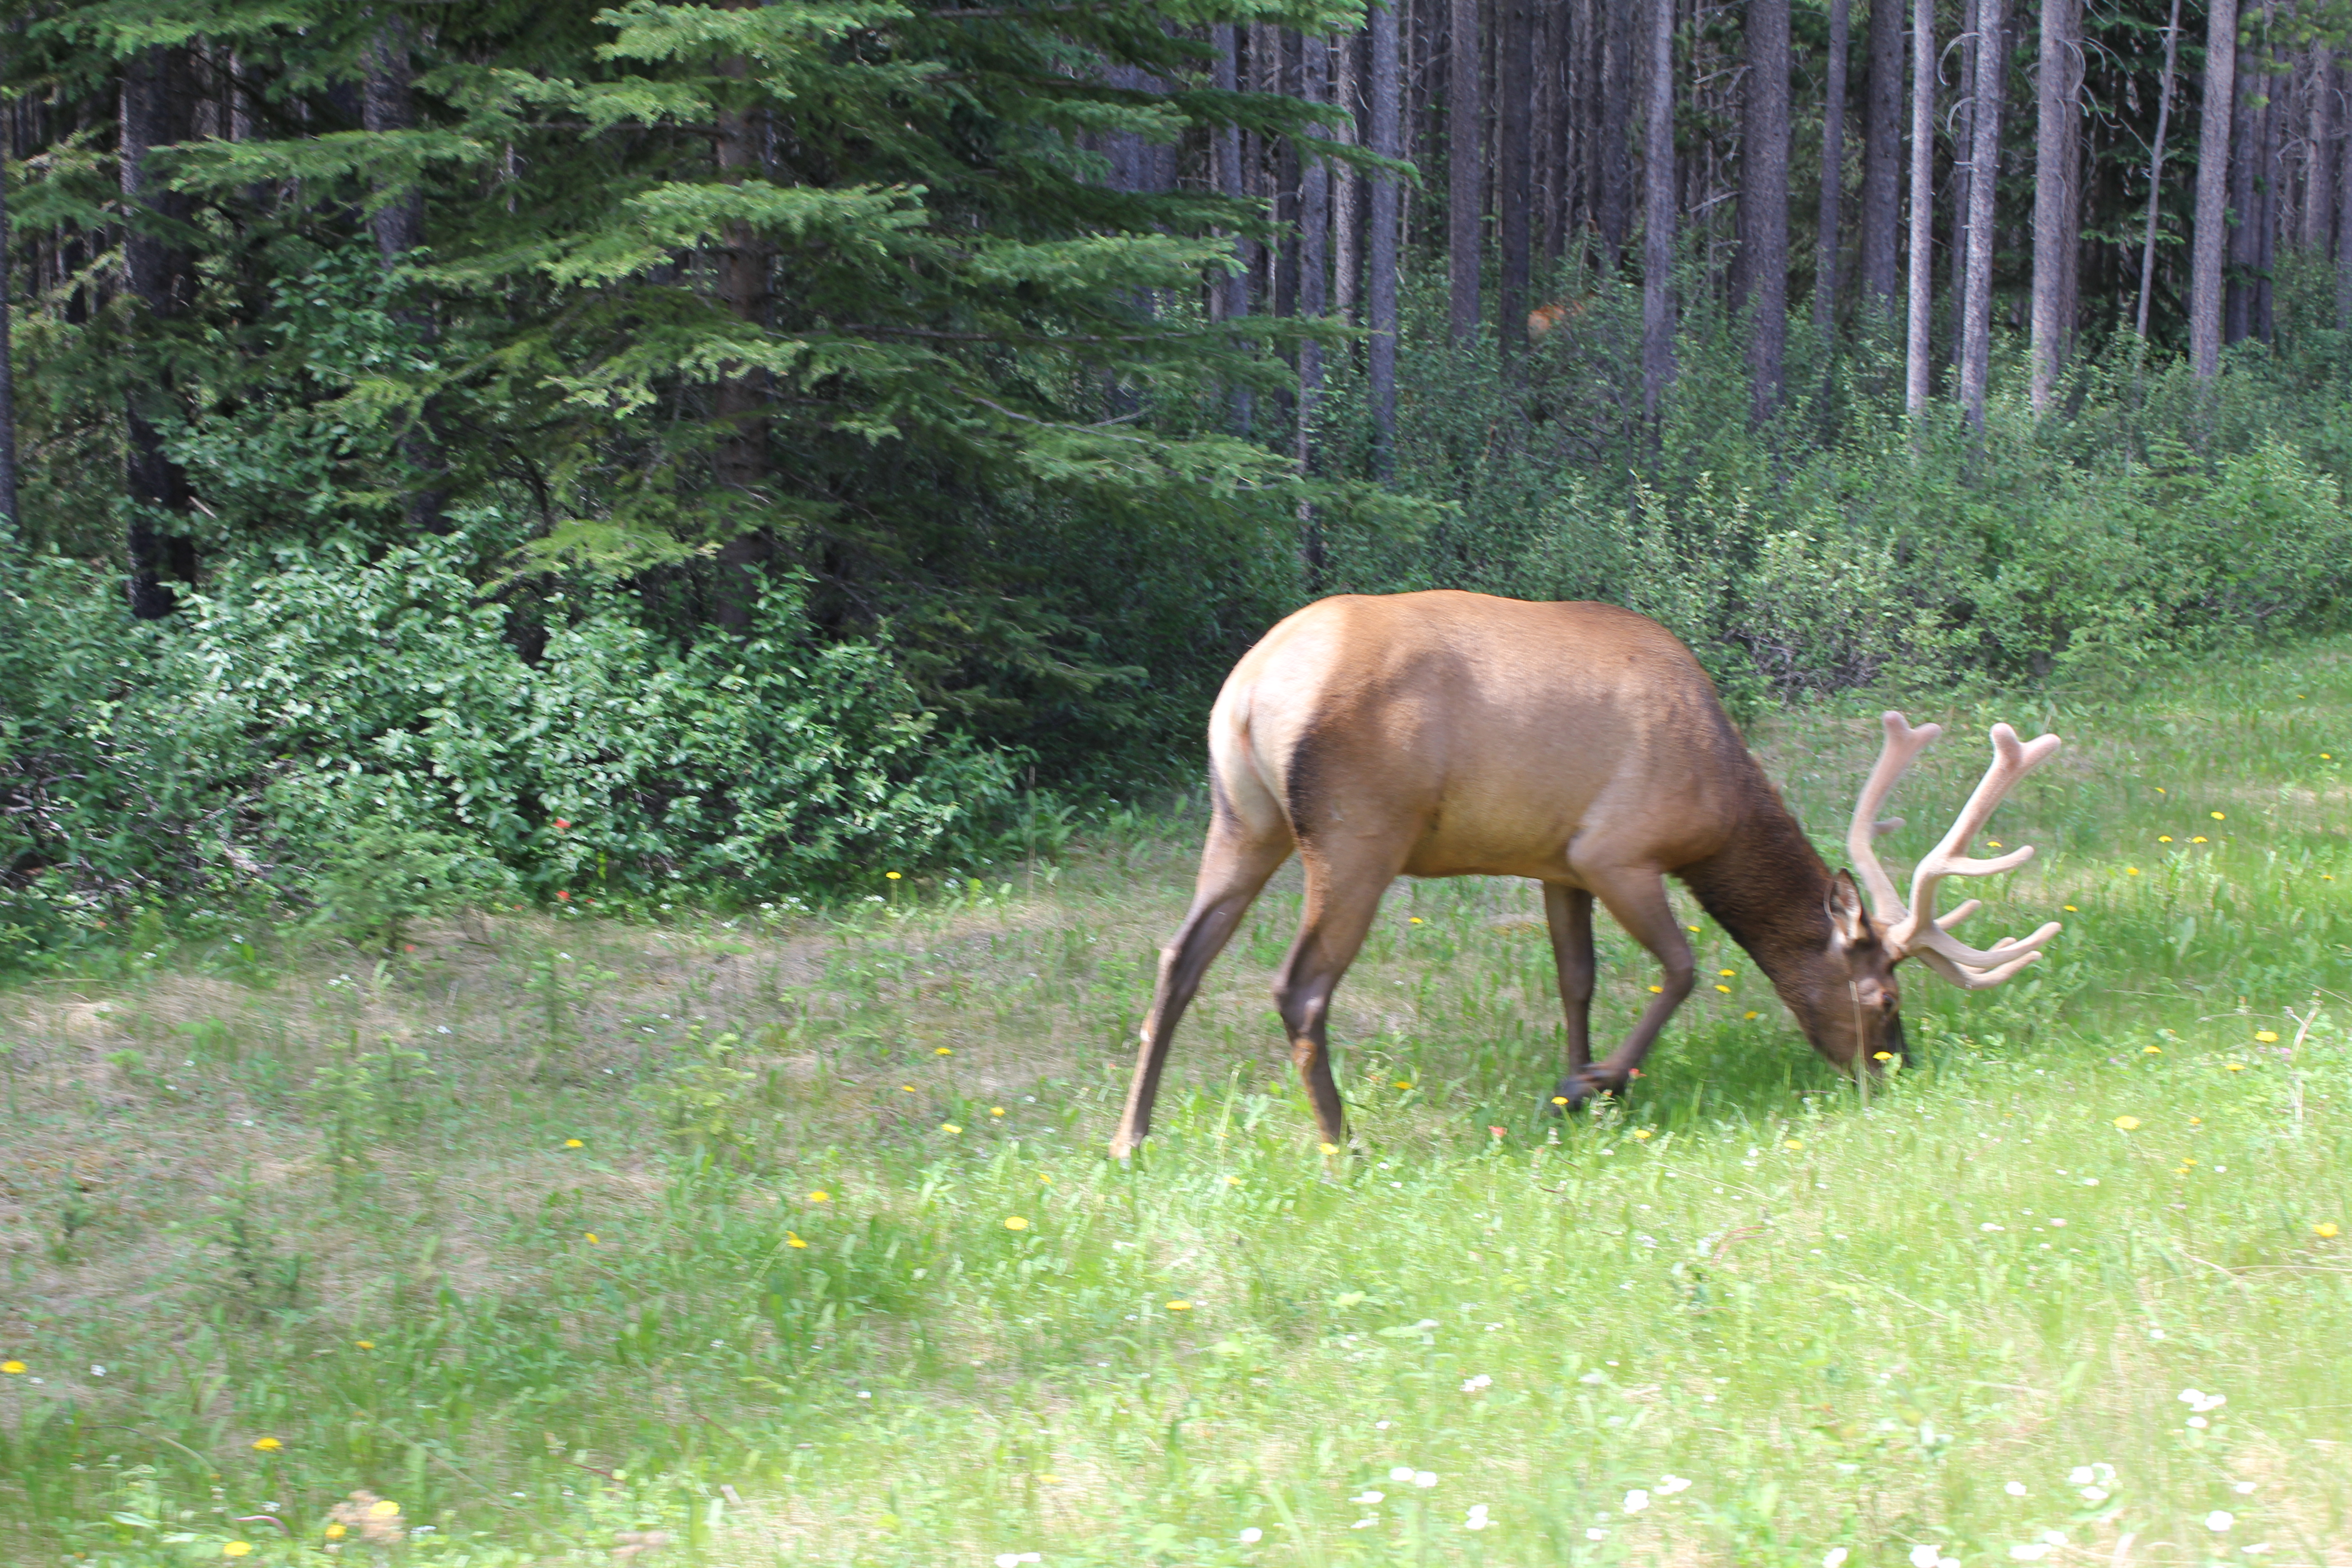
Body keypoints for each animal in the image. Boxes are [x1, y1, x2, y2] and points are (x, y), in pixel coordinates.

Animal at [1110, 588, 2051, 1152]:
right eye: (1882, 996)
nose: (1895, 1066)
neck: (1719, 809)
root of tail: (1248, 691)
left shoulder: (1554, 862)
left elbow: (1576, 978)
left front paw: (1576, 1086)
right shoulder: (1616, 850)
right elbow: (1680, 967)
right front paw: (1596, 1081)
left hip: (1242, 820)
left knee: (1178, 958)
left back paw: (1131, 1137)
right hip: (1356, 833)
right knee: (1298, 985)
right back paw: (1342, 1143)